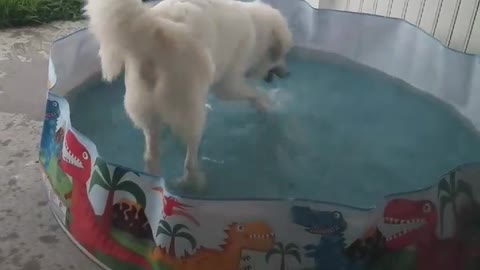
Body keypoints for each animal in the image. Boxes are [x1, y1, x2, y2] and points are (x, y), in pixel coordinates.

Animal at [85, 0, 292, 190]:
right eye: (282, 54)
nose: (287, 74)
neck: (256, 28)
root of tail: (154, 30)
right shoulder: (228, 84)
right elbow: (254, 93)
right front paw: (267, 104)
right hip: (192, 111)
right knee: (190, 159)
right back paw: (195, 181)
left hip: (146, 110)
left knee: (151, 156)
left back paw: (153, 181)